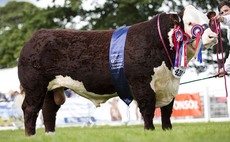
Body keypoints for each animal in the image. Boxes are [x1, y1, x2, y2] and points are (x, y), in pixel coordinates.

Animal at [18, 5, 217, 136]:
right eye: (190, 23)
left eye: (207, 21)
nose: (212, 36)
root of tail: (36, 36)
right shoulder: (141, 82)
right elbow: (147, 108)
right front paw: (149, 131)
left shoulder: (170, 85)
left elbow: (167, 111)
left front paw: (167, 131)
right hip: (34, 86)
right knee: (30, 109)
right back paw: (30, 136)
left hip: (53, 88)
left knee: (48, 110)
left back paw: (50, 135)